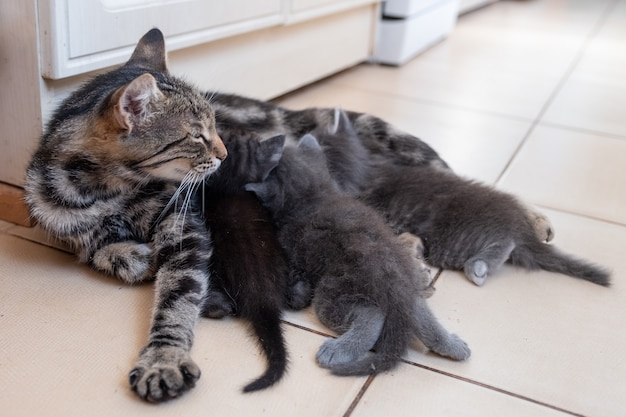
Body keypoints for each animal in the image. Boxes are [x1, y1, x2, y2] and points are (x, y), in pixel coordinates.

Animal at [23, 28, 227, 400]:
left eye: (215, 126)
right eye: (196, 136)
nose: (225, 152)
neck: (106, 192)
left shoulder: (181, 226)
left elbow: (177, 295)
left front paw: (163, 357)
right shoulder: (60, 223)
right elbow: (96, 249)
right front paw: (133, 257)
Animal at [244, 136, 468, 374]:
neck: (314, 196)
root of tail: (395, 288)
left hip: (333, 292)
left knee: (372, 315)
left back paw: (336, 351)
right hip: (410, 286)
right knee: (421, 312)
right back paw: (452, 345)